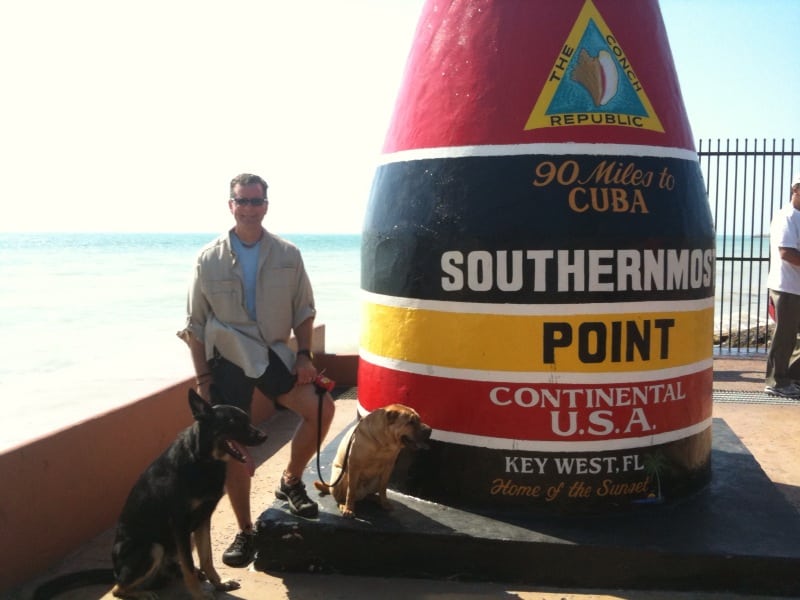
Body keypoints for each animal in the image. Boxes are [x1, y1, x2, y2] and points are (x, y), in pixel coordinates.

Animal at [32, 386, 268, 596]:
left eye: (247, 419)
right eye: (233, 422)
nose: (263, 436)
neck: (202, 459)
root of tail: (116, 571)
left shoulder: (202, 520)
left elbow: (206, 558)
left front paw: (218, 584)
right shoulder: (180, 525)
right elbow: (190, 567)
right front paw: (199, 595)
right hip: (153, 547)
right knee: (119, 588)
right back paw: (143, 593)